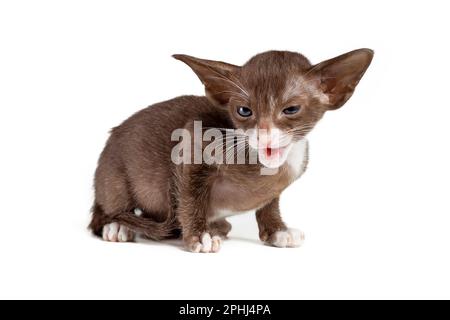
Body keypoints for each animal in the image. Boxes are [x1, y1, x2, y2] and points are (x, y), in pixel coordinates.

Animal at [88, 48, 372, 252]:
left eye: (291, 109)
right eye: (244, 111)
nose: (264, 133)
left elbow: (269, 203)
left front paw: (277, 231)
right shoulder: (192, 144)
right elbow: (191, 198)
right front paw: (198, 236)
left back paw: (218, 226)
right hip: (115, 175)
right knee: (107, 209)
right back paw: (117, 227)